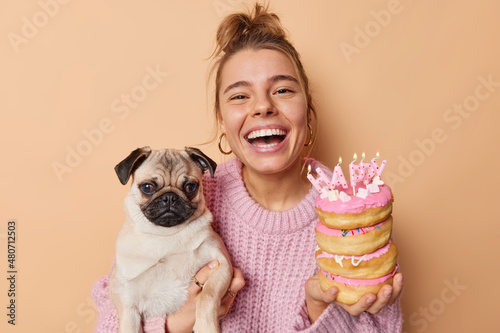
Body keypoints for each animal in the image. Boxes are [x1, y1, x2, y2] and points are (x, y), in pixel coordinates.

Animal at [109, 147, 232, 330]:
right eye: (147, 187)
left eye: (190, 187)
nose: (169, 197)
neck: (165, 234)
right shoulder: (126, 299)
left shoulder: (221, 264)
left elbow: (207, 296)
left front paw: (206, 327)